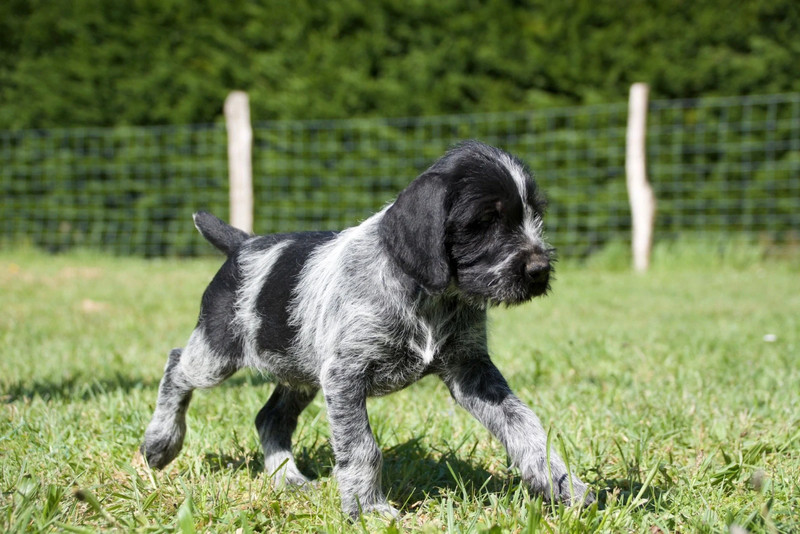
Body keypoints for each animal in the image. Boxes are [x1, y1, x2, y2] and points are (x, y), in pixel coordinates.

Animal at [142, 141, 592, 520]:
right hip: (218, 353)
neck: (429, 296)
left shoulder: (471, 371)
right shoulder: (346, 375)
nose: (539, 271)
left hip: (301, 370)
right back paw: (161, 441)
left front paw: (563, 485)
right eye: (486, 220)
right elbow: (362, 448)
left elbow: (524, 426)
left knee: (269, 418)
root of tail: (242, 245)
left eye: (535, 215)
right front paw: (367, 509)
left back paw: (287, 478)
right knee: (177, 365)